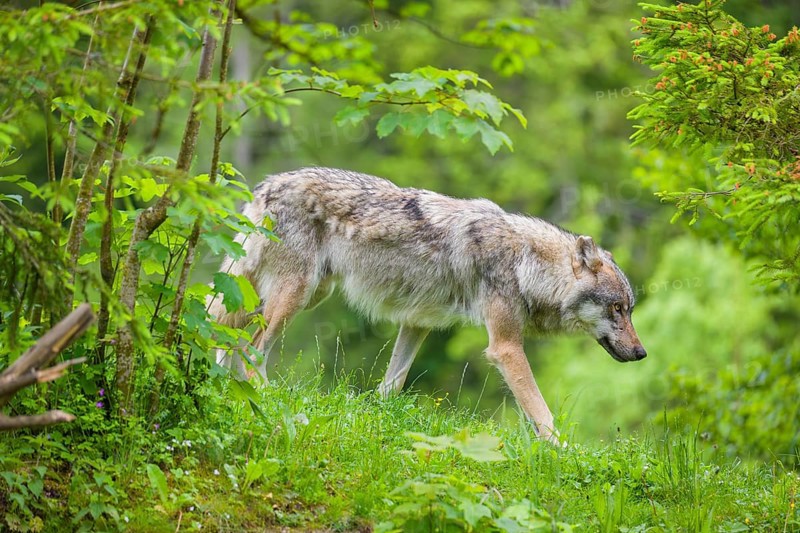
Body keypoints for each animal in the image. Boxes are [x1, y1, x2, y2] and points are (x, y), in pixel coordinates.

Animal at [209, 167, 646, 443]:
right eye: (616, 310)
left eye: (629, 309)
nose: (642, 353)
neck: (526, 263)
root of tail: (266, 186)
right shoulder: (505, 347)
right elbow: (542, 412)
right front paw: (563, 451)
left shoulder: (416, 323)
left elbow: (392, 384)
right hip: (294, 296)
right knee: (252, 350)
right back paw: (266, 399)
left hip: (288, 295)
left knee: (226, 333)